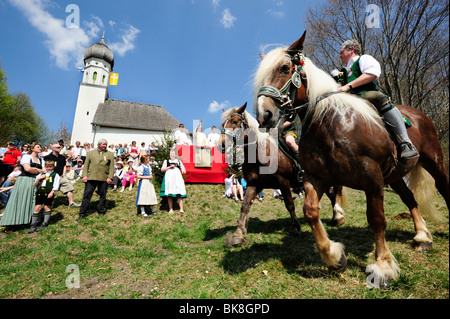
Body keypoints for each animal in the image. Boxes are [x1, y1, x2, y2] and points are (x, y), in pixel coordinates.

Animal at [255, 31, 448, 288]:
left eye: (285, 68)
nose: (264, 115)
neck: (330, 122)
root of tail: (419, 115)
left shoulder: (371, 178)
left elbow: (376, 219)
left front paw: (383, 267)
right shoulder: (316, 178)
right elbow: (310, 211)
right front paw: (333, 256)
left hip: (434, 161)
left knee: (444, 188)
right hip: (395, 176)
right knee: (409, 198)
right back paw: (422, 236)